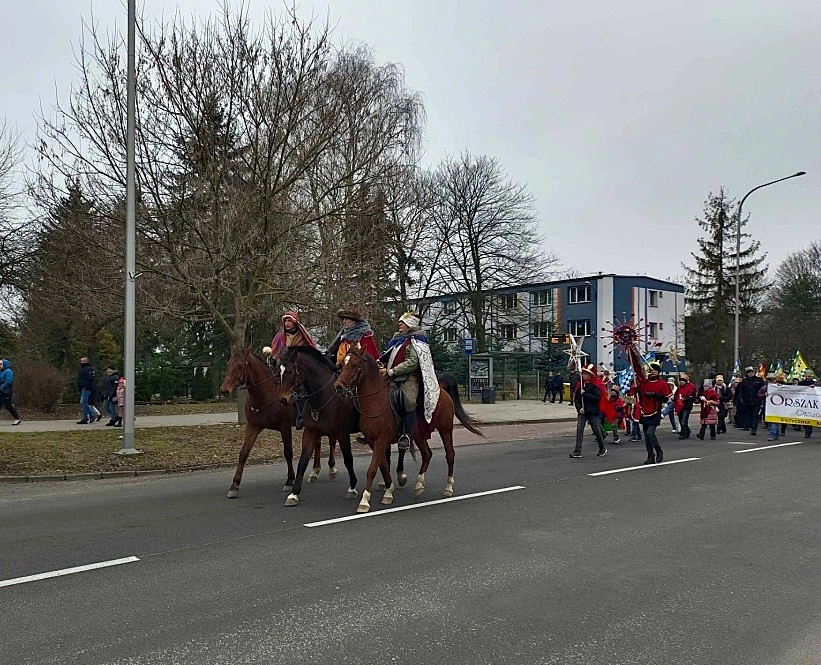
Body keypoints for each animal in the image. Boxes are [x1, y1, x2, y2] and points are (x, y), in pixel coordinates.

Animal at [221, 348, 334, 498]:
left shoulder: (285, 427)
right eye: (228, 364)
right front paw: (234, 485)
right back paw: (314, 471)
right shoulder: (253, 426)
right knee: (318, 443)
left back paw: (331, 468)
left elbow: (288, 452)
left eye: (240, 366)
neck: (266, 394)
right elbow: (243, 453)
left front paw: (290, 480)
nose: (224, 390)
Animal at [278, 344, 364, 506]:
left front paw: (352, 488)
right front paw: (294, 494)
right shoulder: (310, 432)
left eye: (290, 371)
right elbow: (303, 462)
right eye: (278, 371)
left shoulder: (342, 434)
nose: (282, 399)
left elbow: (348, 460)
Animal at [334, 342, 484, 512]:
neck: (376, 401)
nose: (338, 386)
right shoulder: (374, 442)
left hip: (446, 429)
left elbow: (372, 469)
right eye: (342, 364)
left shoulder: (381, 440)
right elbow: (383, 466)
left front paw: (365, 501)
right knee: (427, 454)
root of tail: (442, 390)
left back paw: (448, 487)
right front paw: (389, 491)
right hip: (419, 435)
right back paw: (419, 485)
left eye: (354, 364)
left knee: (450, 454)